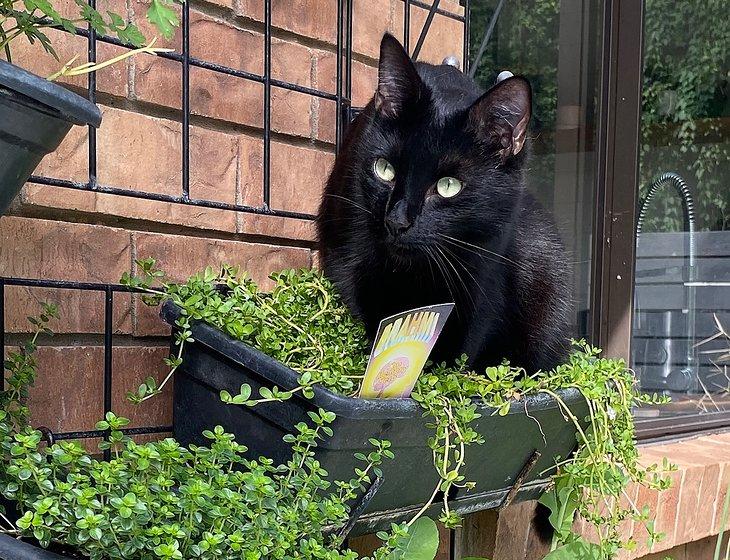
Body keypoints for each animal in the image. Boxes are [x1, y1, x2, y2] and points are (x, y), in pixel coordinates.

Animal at [316, 36, 572, 376]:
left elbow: (466, 341)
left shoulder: (483, 273)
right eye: (385, 169)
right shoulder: (349, 255)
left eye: (448, 186)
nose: (396, 220)